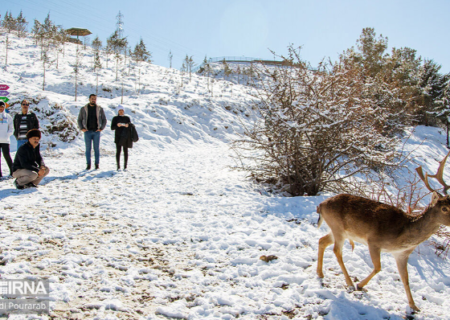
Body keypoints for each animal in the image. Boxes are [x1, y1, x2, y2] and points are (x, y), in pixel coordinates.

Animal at [316, 151, 450, 312]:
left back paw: (320, 273)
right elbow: (378, 267)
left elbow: (405, 279)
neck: (403, 235)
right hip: (338, 228)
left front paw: (414, 306)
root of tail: (321, 205)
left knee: (322, 241)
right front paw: (360, 285)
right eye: (444, 208)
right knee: (336, 250)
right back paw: (349, 282)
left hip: (337, 230)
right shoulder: (373, 241)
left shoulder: (402, 254)